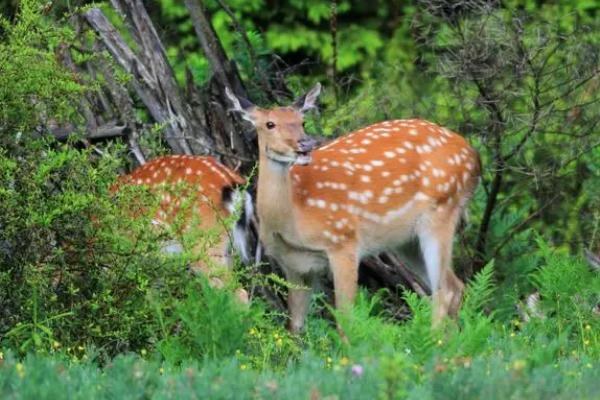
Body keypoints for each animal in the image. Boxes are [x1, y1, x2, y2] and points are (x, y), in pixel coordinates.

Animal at [227, 84, 480, 332]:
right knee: (455, 286)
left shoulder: (344, 242)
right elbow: (296, 325)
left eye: (302, 122)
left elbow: (345, 321)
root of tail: (474, 156)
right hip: (406, 240)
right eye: (269, 124)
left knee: (444, 291)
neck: (294, 219)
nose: (305, 144)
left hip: (441, 210)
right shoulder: (293, 265)